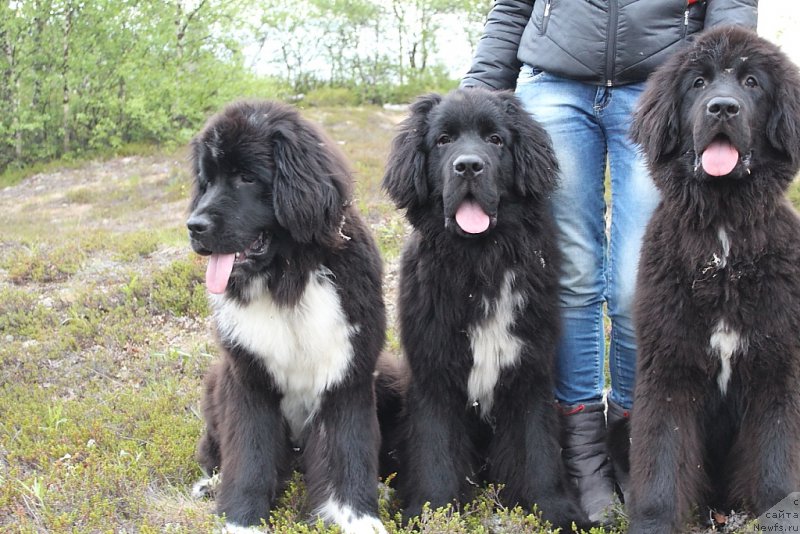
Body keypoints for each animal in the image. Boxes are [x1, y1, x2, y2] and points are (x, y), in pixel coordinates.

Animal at [188, 101, 388, 534]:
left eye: (246, 177)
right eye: (207, 182)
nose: (193, 226)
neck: (287, 280)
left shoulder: (348, 374)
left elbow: (349, 450)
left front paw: (357, 517)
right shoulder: (248, 378)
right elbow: (248, 456)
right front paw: (241, 521)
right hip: (215, 382)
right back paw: (209, 483)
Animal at [382, 89, 588, 532]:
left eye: (495, 140)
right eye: (443, 140)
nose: (468, 166)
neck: (480, 264)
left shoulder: (529, 368)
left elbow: (538, 449)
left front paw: (556, 512)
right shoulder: (434, 372)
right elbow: (435, 448)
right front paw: (431, 511)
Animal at [624, 26, 800, 534]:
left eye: (752, 82)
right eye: (698, 83)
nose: (723, 107)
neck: (722, 241)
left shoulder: (776, 366)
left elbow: (775, 460)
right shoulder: (669, 365)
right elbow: (661, 458)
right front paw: (654, 522)